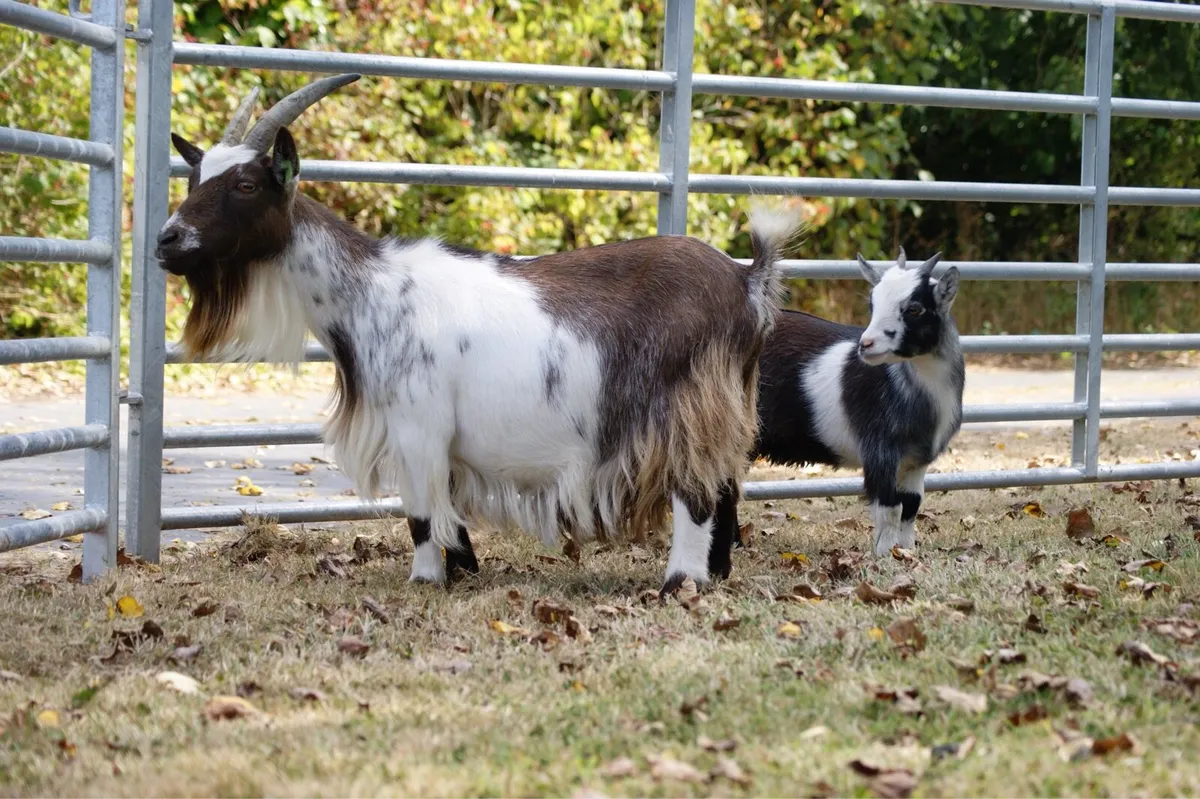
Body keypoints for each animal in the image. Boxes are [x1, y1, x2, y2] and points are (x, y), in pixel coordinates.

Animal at [154, 73, 802, 593]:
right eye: (194, 178)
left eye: (245, 184)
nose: (167, 240)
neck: (372, 292)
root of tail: (748, 282)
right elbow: (448, 515)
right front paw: (463, 569)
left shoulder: (417, 426)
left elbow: (419, 515)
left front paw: (424, 582)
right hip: (726, 405)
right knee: (727, 490)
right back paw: (715, 575)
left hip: (688, 406)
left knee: (696, 494)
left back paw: (678, 584)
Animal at [748, 249, 964, 556]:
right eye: (873, 304)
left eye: (914, 309)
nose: (867, 344)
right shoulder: (879, 452)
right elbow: (890, 508)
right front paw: (885, 555)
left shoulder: (917, 461)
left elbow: (911, 505)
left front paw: (907, 552)